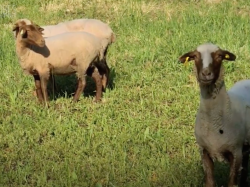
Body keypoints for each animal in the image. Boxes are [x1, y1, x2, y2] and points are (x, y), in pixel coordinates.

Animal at [179, 42, 250, 187]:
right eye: (195, 56)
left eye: (219, 56)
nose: (206, 73)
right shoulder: (204, 151)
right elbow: (210, 182)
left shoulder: (235, 152)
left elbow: (232, 183)